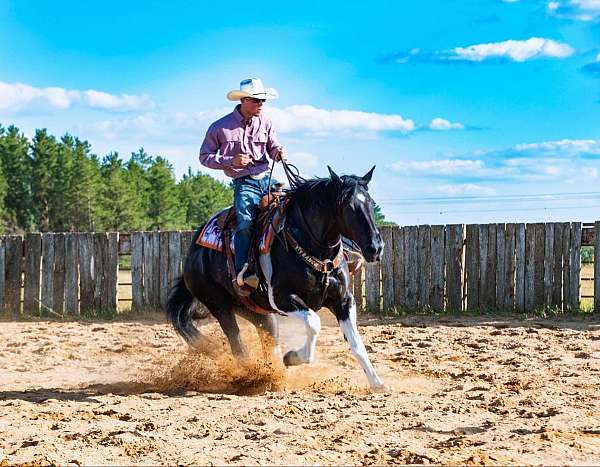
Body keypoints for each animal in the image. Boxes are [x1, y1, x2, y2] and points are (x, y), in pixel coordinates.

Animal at [166, 166, 386, 394]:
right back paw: (252, 377)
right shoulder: (283, 298)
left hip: (255, 310)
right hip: (219, 304)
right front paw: (293, 357)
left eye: (371, 203)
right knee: (236, 341)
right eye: (348, 206)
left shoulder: (343, 300)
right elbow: (314, 323)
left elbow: (356, 341)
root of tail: (193, 252)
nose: (375, 248)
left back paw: (274, 375)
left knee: (267, 338)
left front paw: (376, 382)